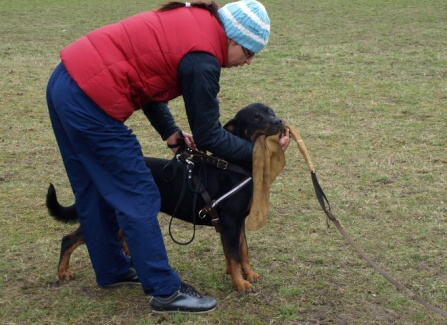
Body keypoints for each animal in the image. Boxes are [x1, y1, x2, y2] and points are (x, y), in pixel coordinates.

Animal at [47, 102, 286, 292]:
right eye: (255, 118)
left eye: (270, 111)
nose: (279, 121)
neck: (233, 165)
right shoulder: (229, 223)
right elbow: (235, 255)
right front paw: (241, 284)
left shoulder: (238, 223)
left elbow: (242, 251)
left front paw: (248, 274)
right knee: (70, 238)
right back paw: (63, 272)